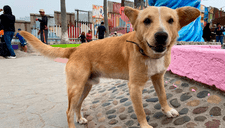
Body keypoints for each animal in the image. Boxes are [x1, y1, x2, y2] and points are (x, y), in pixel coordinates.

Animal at [19, 5, 200, 128]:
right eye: (147, 21)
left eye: (171, 21)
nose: (161, 36)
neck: (148, 53)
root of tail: (76, 48)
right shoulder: (134, 87)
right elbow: (140, 111)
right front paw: (145, 125)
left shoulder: (158, 77)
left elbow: (162, 96)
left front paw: (167, 110)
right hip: (76, 87)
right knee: (68, 111)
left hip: (86, 87)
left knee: (77, 105)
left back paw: (80, 118)